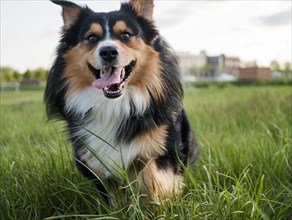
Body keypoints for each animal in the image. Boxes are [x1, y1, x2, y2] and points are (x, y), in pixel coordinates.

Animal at [44, 0, 197, 200]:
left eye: (125, 35)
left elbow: (150, 174)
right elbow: (113, 192)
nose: (108, 51)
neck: (115, 105)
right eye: (91, 38)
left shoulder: (165, 147)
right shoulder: (91, 155)